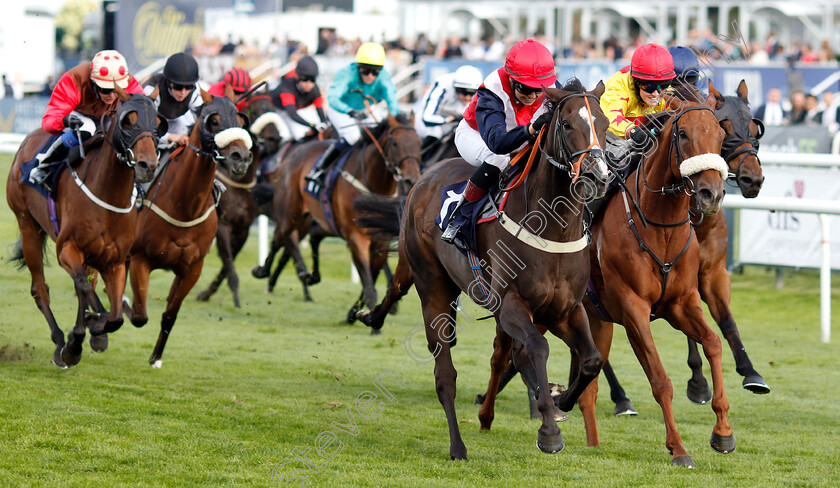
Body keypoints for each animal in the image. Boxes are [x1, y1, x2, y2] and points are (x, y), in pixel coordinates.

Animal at [6, 88, 162, 370]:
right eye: (128, 121)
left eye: (157, 122)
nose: (148, 165)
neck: (109, 194)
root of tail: (26, 141)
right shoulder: (67, 248)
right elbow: (82, 286)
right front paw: (74, 344)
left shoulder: (115, 260)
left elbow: (115, 316)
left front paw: (96, 327)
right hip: (28, 227)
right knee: (41, 289)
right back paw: (60, 340)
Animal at [122, 89, 253, 368]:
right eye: (213, 120)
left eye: (240, 119)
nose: (241, 158)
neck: (185, 206)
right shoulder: (141, 260)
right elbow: (138, 315)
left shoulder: (192, 268)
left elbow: (170, 314)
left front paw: (156, 357)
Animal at [256, 113, 420, 322]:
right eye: (395, 144)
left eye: (419, 143)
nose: (411, 179)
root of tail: (293, 153)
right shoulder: (356, 238)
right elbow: (369, 286)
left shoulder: (379, 242)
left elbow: (374, 278)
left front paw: (357, 313)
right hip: (290, 212)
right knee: (280, 237)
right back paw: (264, 271)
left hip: (315, 220)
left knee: (307, 237)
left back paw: (306, 276)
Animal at [356, 79, 612, 458]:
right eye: (567, 125)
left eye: (605, 123)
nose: (598, 176)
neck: (552, 229)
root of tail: (425, 177)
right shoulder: (510, 305)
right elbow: (538, 348)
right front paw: (549, 430)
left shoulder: (565, 309)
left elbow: (591, 359)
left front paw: (561, 399)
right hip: (431, 284)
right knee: (444, 373)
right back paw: (457, 445)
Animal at [580, 88, 732, 468]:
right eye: (683, 134)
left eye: (720, 135)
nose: (711, 194)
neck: (659, 228)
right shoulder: (633, 308)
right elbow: (661, 380)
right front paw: (678, 449)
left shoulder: (681, 303)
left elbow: (713, 343)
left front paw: (723, 432)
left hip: (595, 319)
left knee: (588, 384)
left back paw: (590, 440)